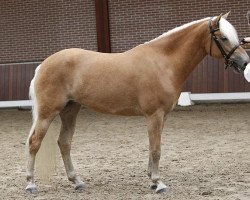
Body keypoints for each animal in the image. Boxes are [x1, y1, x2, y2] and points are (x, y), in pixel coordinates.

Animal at [25, 12, 250, 194]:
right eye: (223, 37)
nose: (244, 62)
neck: (163, 62)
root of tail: (43, 65)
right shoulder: (154, 115)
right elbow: (156, 149)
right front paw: (159, 184)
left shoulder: (161, 117)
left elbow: (153, 147)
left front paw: (152, 180)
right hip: (47, 113)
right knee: (34, 142)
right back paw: (31, 184)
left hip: (70, 110)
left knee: (64, 142)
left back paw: (77, 181)